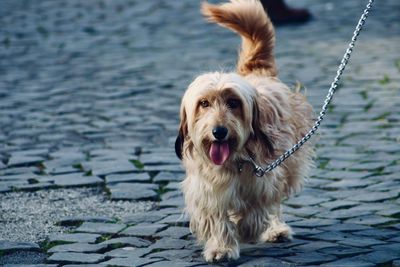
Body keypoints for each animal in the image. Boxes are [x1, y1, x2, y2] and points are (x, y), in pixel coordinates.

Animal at [175, 0, 316, 264]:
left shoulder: (265, 178)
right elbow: (218, 218)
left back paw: (275, 229)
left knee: (275, 204)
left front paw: (245, 231)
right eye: (204, 103)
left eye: (233, 103)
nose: (219, 131)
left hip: (288, 164)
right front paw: (222, 247)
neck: (234, 160)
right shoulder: (208, 189)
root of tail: (256, 72)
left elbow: (255, 211)